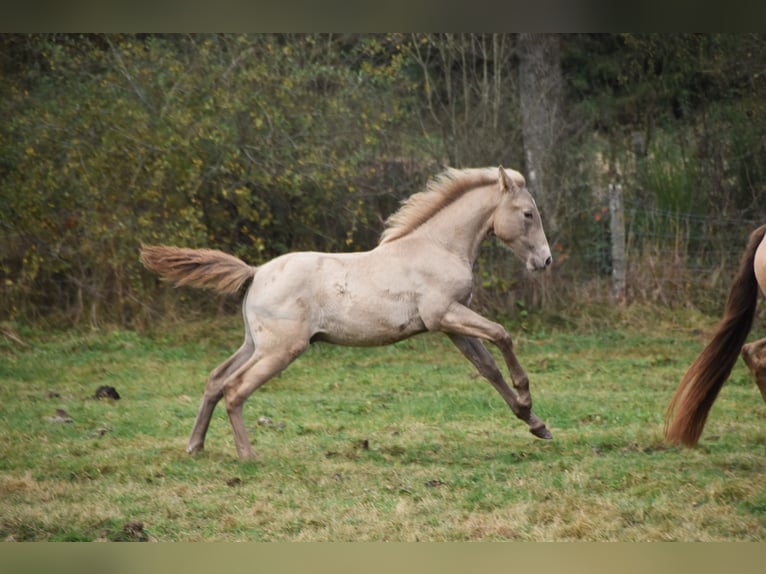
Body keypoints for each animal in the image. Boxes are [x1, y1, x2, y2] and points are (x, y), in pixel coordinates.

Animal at [141, 164, 556, 462]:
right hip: (280, 350)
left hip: (254, 344)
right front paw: (526, 400)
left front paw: (535, 423)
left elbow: (488, 369)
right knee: (235, 388)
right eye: (527, 214)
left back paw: (195, 446)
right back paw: (247, 456)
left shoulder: (453, 325)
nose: (545, 261)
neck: (436, 247)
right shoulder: (445, 315)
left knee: (215, 380)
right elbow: (502, 334)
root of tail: (255, 272)